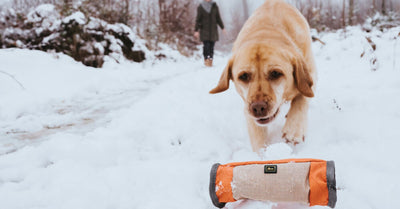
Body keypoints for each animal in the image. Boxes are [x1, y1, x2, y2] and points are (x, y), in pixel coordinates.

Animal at [209, 0, 316, 153]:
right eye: (243, 76)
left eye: (275, 73)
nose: (258, 107)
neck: (265, 32)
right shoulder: (248, 109)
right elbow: (258, 139)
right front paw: (262, 156)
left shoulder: (311, 74)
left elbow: (302, 98)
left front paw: (293, 129)